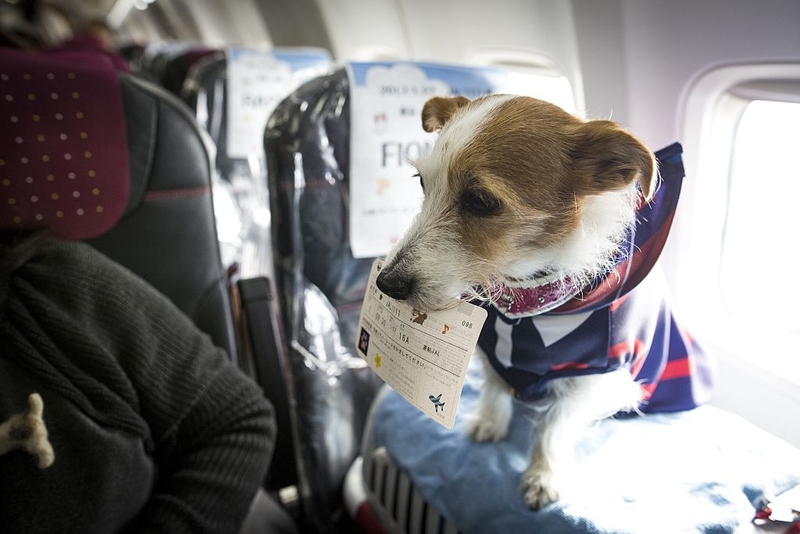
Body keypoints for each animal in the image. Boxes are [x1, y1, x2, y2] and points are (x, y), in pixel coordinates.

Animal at [378, 95, 716, 510]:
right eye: (423, 183)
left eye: (480, 201)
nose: (385, 282)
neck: (528, 303)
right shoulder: (493, 349)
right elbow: (495, 385)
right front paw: (490, 422)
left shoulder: (593, 375)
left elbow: (557, 423)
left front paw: (544, 475)